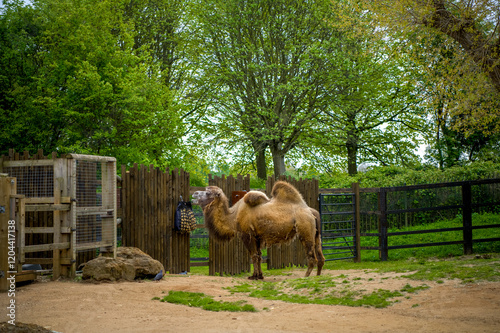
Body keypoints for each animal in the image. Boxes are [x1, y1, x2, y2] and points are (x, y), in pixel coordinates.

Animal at [191, 180, 324, 278]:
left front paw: (253, 276)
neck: (234, 217)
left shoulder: (247, 235)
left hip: (305, 230)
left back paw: (306, 276)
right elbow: (259, 256)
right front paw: (260, 275)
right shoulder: (258, 236)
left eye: (208, 193)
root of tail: (311, 212)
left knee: (311, 256)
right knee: (320, 255)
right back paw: (318, 276)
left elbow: (253, 255)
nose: (194, 193)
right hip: (316, 234)